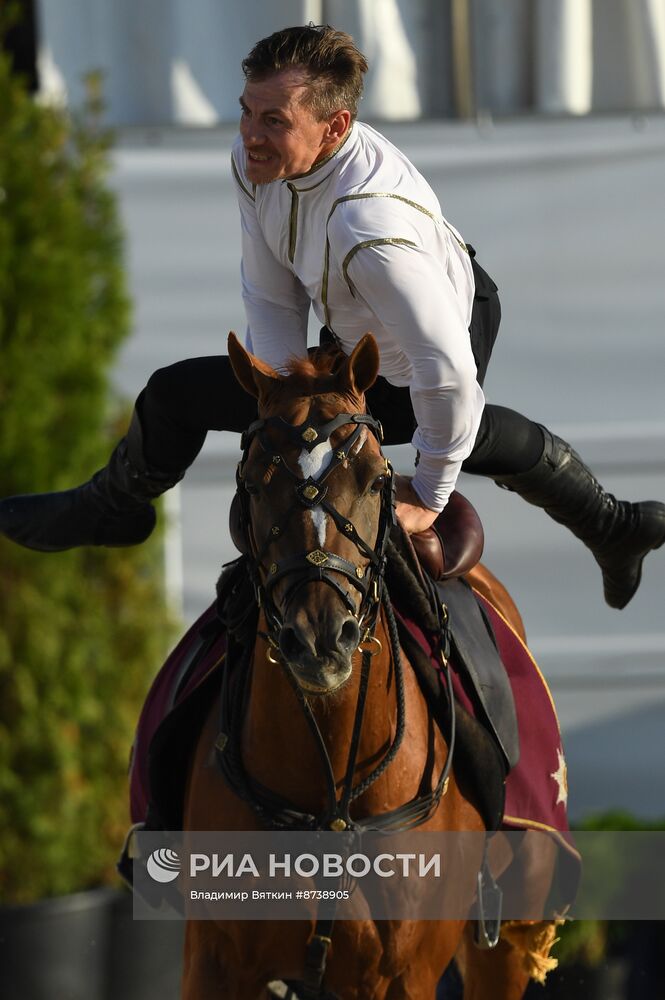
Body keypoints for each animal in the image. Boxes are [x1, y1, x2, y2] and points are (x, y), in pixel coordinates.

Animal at [182, 332, 556, 996]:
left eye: (375, 479)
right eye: (251, 483)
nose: (320, 638)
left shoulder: (400, 974)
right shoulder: (213, 961)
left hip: (508, 939)